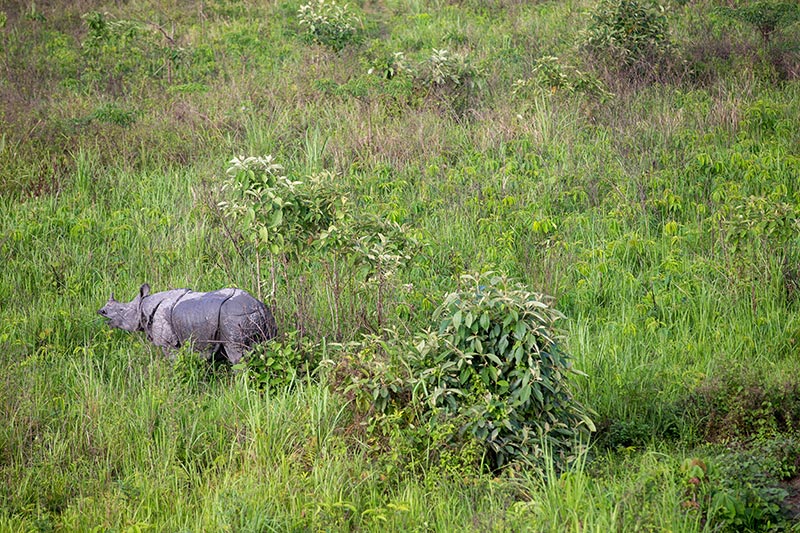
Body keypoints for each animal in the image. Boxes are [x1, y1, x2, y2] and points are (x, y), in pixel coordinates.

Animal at [98, 284, 277, 364]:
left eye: (122, 310)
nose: (101, 311)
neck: (143, 305)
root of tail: (258, 306)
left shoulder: (168, 343)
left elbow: (172, 361)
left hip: (235, 318)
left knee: (237, 355)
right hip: (264, 316)